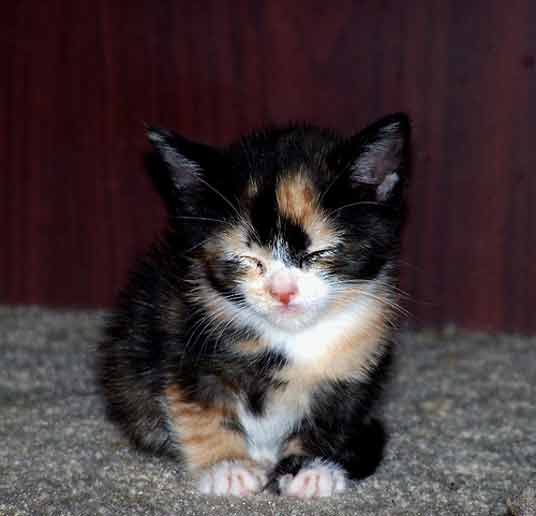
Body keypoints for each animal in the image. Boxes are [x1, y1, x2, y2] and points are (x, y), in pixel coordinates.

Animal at [98, 115, 410, 498]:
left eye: (319, 253)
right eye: (247, 259)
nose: (283, 292)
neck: (292, 337)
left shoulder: (357, 365)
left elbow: (334, 416)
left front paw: (310, 468)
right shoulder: (179, 331)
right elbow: (200, 404)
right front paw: (227, 466)